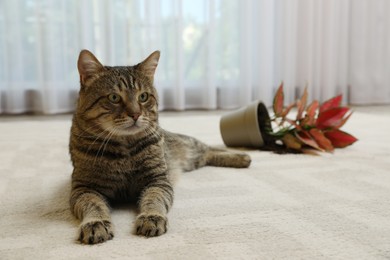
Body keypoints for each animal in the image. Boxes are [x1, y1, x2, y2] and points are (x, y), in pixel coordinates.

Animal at [69, 49, 253, 245]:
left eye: (143, 97)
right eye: (114, 97)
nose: (135, 114)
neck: (124, 148)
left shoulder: (157, 180)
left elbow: (153, 199)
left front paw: (151, 217)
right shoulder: (84, 188)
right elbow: (93, 205)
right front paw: (95, 223)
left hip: (190, 148)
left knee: (209, 148)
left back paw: (242, 157)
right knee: (208, 155)